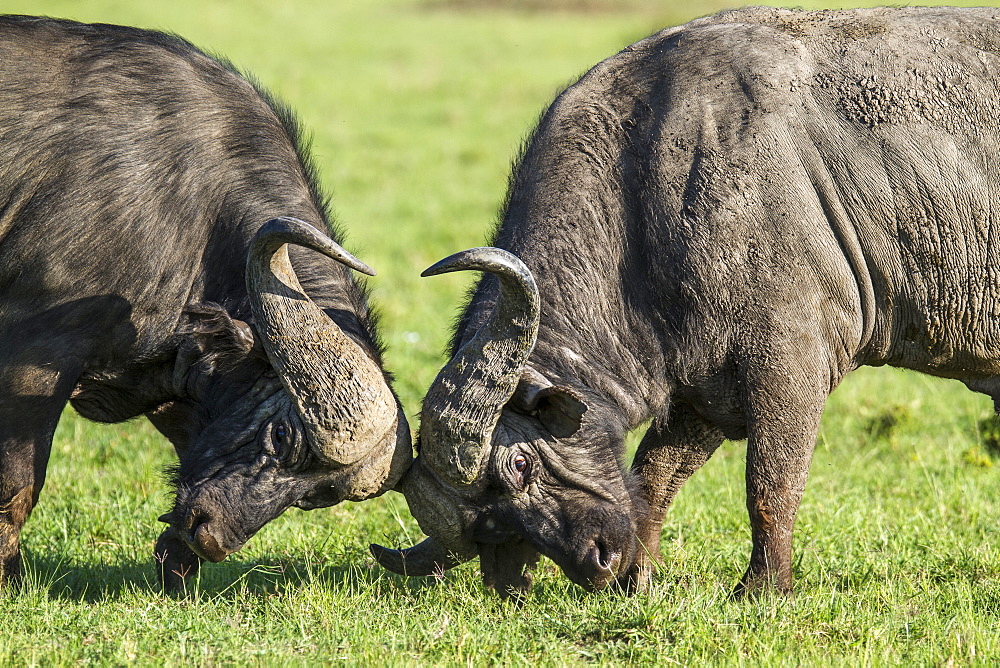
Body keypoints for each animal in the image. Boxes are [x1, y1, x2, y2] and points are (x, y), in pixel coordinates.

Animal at [0, 14, 410, 588]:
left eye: (315, 497)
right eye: (282, 434)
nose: (213, 537)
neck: (188, 217)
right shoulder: (34, 356)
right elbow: (17, 479)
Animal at [376, 5, 1000, 596]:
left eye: (521, 464)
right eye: (486, 526)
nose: (597, 563)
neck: (651, 187)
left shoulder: (790, 365)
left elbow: (771, 484)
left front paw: (761, 589)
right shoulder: (703, 390)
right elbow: (655, 477)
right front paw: (640, 580)